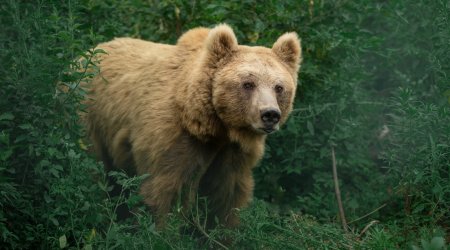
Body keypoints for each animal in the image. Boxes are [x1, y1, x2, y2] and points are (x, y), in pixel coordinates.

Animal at [83, 23, 302, 229]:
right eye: (248, 83)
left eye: (279, 87)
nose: (270, 115)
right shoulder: (172, 137)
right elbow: (166, 191)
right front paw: (162, 230)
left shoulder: (231, 153)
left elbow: (224, 197)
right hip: (90, 117)